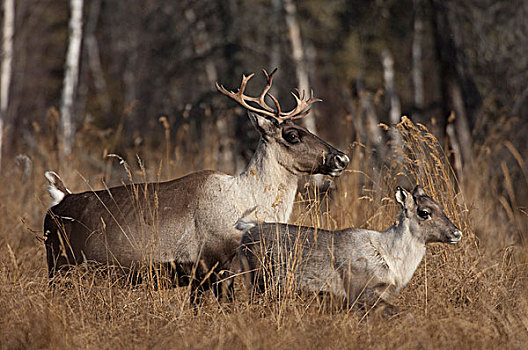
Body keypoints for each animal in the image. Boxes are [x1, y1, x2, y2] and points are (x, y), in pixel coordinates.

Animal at [237, 186, 460, 308]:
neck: (391, 260)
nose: (457, 233)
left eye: (440, 206)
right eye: (424, 212)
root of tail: (248, 229)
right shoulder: (360, 292)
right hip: (258, 280)